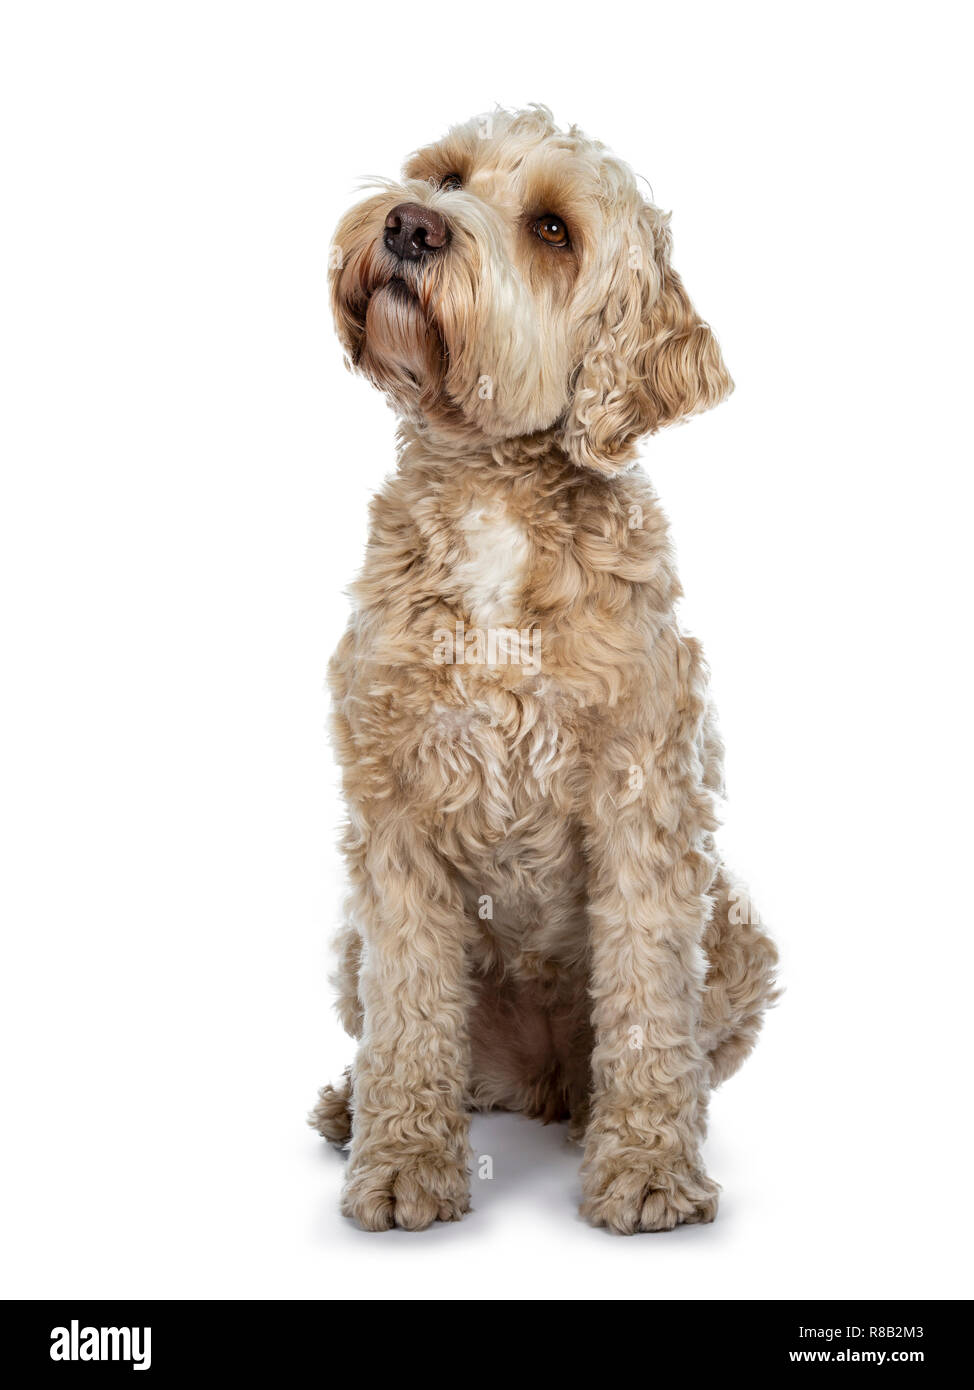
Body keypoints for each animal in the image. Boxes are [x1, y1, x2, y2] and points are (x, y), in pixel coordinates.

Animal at [309, 111, 772, 1239]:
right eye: (444, 174)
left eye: (553, 229)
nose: (410, 223)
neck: (493, 495)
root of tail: (537, 1081)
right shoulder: (391, 813)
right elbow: (408, 1015)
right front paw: (401, 1161)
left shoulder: (645, 801)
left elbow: (647, 1004)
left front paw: (647, 1170)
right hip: (348, 942)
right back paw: (352, 1106)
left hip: (737, 927)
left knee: (677, 1050)